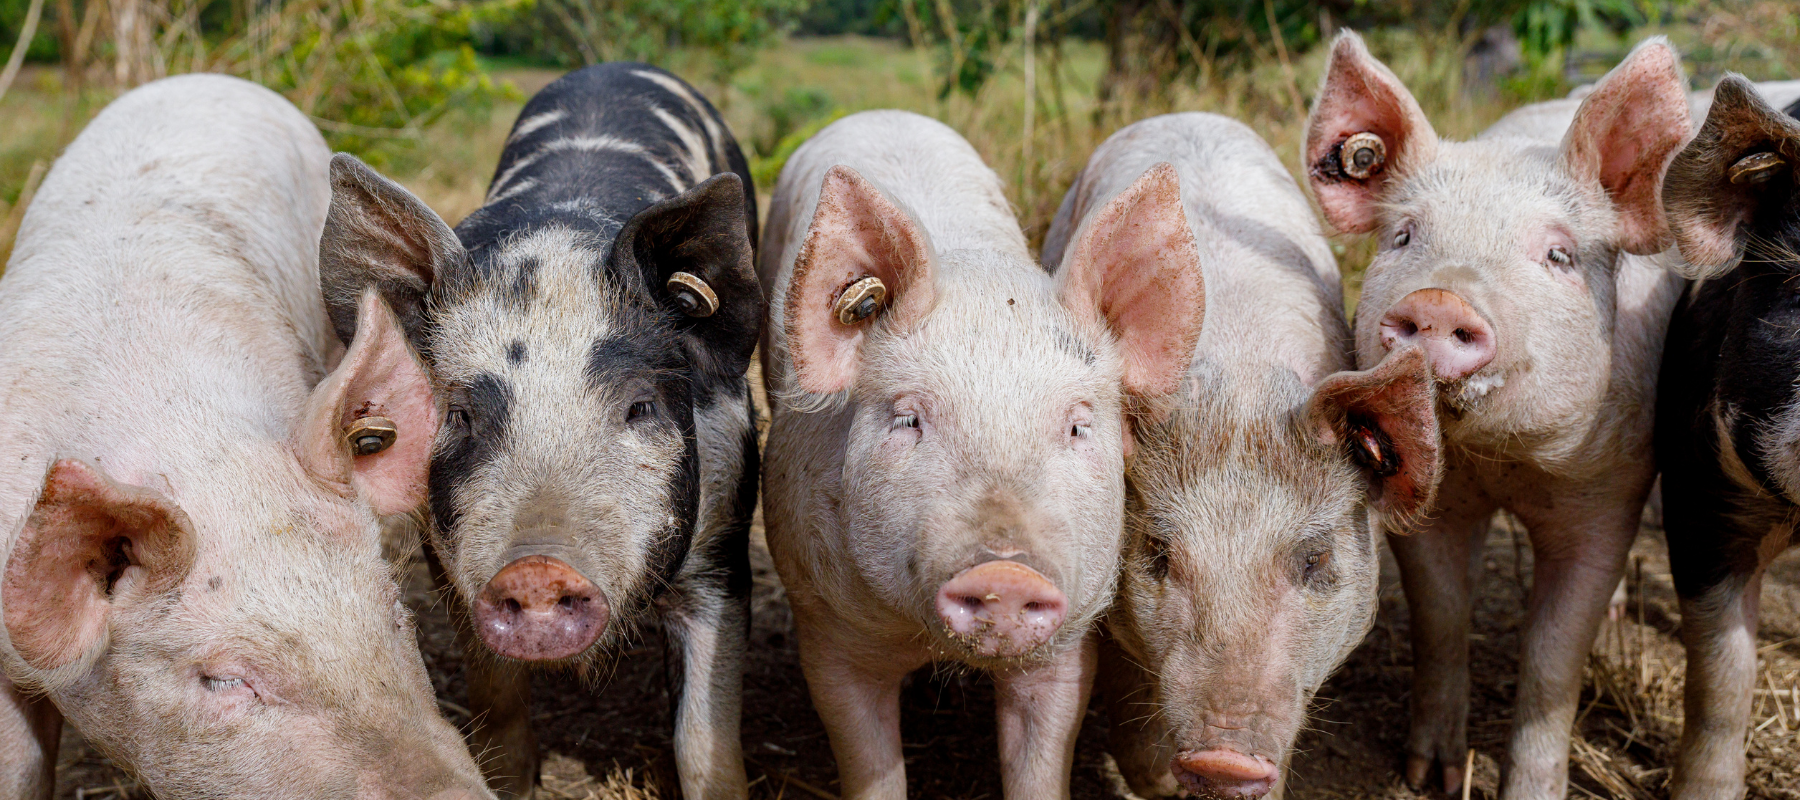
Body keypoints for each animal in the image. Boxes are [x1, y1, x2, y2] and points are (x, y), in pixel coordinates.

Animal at [313, 62, 756, 800]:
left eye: (641, 406)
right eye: (460, 415)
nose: (538, 567)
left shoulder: (724, 548)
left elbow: (708, 744)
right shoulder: (448, 564)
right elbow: (496, 707)